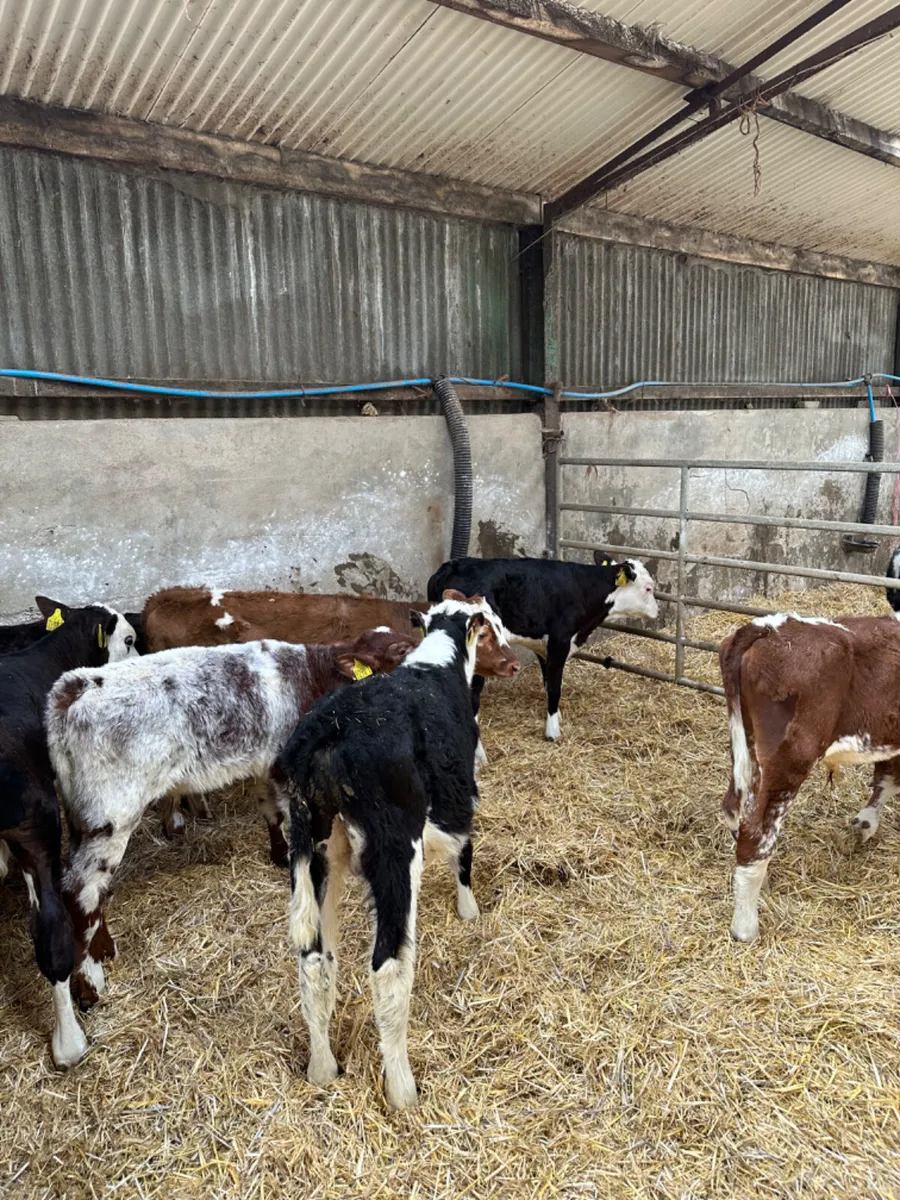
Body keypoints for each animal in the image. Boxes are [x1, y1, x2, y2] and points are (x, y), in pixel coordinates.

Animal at [46, 628, 417, 1066]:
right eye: (399, 650)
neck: (312, 675)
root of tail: (74, 687)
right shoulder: (286, 765)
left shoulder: (265, 763)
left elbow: (269, 809)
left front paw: (277, 853)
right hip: (110, 817)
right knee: (79, 892)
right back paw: (88, 986)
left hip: (82, 820)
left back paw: (103, 948)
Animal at [277, 595, 518, 1110]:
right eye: (490, 629)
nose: (514, 663)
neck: (438, 661)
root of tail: (328, 735)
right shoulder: (460, 795)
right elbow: (464, 853)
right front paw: (469, 911)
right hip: (394, 850)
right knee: (387, 967)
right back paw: (402, 1089)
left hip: (314, 847)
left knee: (314, 960)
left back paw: (322, 1069)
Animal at [427, 553, 658, 740]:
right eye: (648, 588)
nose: (658, 610)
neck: (584, 589)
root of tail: (451, 565)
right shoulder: (559, 642)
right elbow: (555, 687)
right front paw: (552, 732)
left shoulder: (543, 646)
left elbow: (548, 682)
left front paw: (555, 715)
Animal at [720, 611, 900, 942]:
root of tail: (767, 626)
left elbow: (886, 777)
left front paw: (863, 824)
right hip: (792, 756)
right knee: (756, 833)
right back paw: (745, 928)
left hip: (749, 747)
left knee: (736, 810)